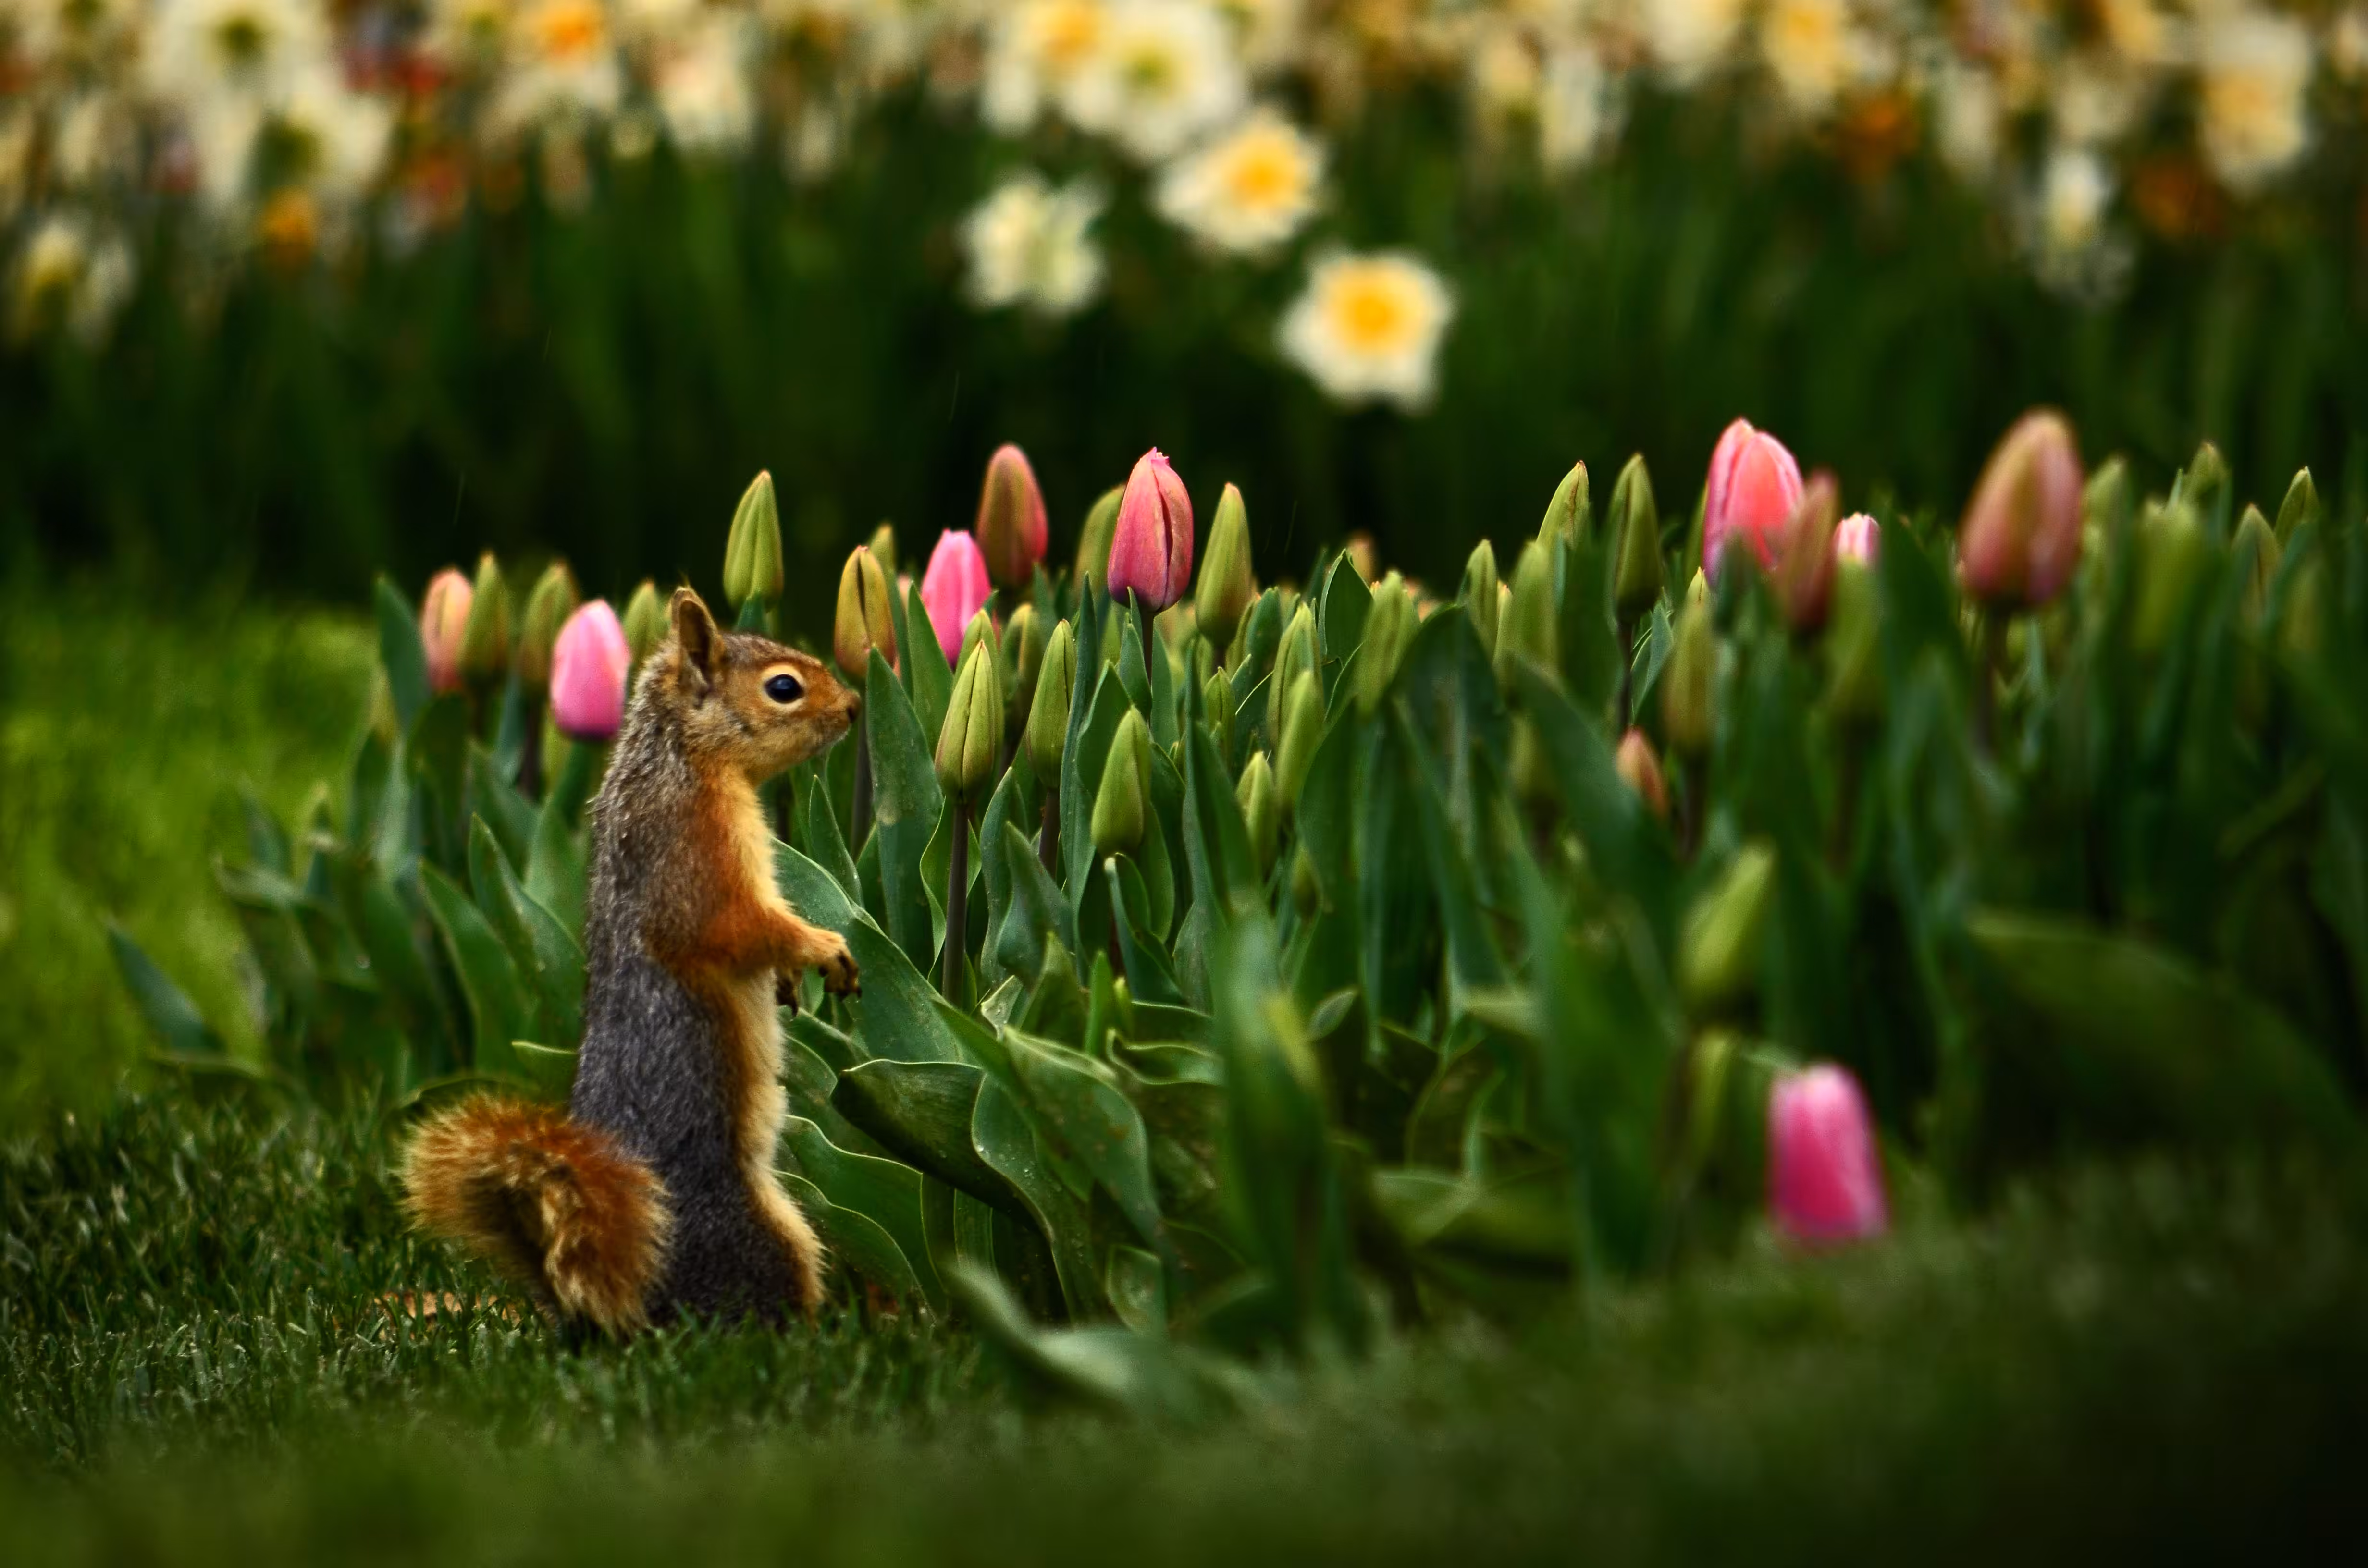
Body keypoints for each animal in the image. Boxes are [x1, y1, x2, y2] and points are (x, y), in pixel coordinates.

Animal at [403, 587, 862, 1335]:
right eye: (783, 688)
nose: (853, 707)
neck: (678, 756)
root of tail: (610, 1301)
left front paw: (792, 977)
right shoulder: (693, 856)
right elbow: (736, 927)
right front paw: (819, 949)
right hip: (762, 1239)